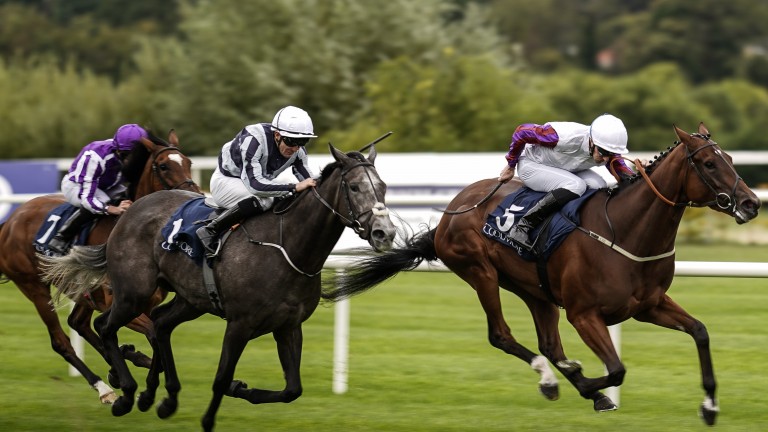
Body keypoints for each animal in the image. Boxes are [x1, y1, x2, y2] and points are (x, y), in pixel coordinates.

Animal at [0, 130, 202, 404]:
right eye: (163, 166)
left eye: (189, 163)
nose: (195, 196)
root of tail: (9, 223)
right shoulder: (118, 303)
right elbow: (150, 333)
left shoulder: (145, 303)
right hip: (34, 287)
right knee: (60, 340)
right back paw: (104, 388)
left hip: (83, 292)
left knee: (79, 323)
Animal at [42, 143, 396, 430]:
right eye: (354, 187)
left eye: (382, 187)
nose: (385, 232)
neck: (288, 246)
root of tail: (129, 211)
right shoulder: (240, 324)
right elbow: (221, 377)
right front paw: (210, 416)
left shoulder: (288, 325)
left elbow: (292, 390)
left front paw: (241, 389)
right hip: (133, 292)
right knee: (105, 325)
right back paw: (125, 393)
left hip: (190, 300)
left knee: (160, 324)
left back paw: (159, 397)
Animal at [320, 123, 760, 426]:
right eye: (709, 163)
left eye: (731, 159)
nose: (752, 203)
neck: (626, 229)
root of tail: (450, 213)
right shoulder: (584, 314)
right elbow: (615, 369)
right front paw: (586, 382)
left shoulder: (648, 305)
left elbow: (700, 331)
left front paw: (710, 405)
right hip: (480, 272)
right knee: (502, 335)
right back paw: (552, 380)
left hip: (536, 289)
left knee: (548, 343)